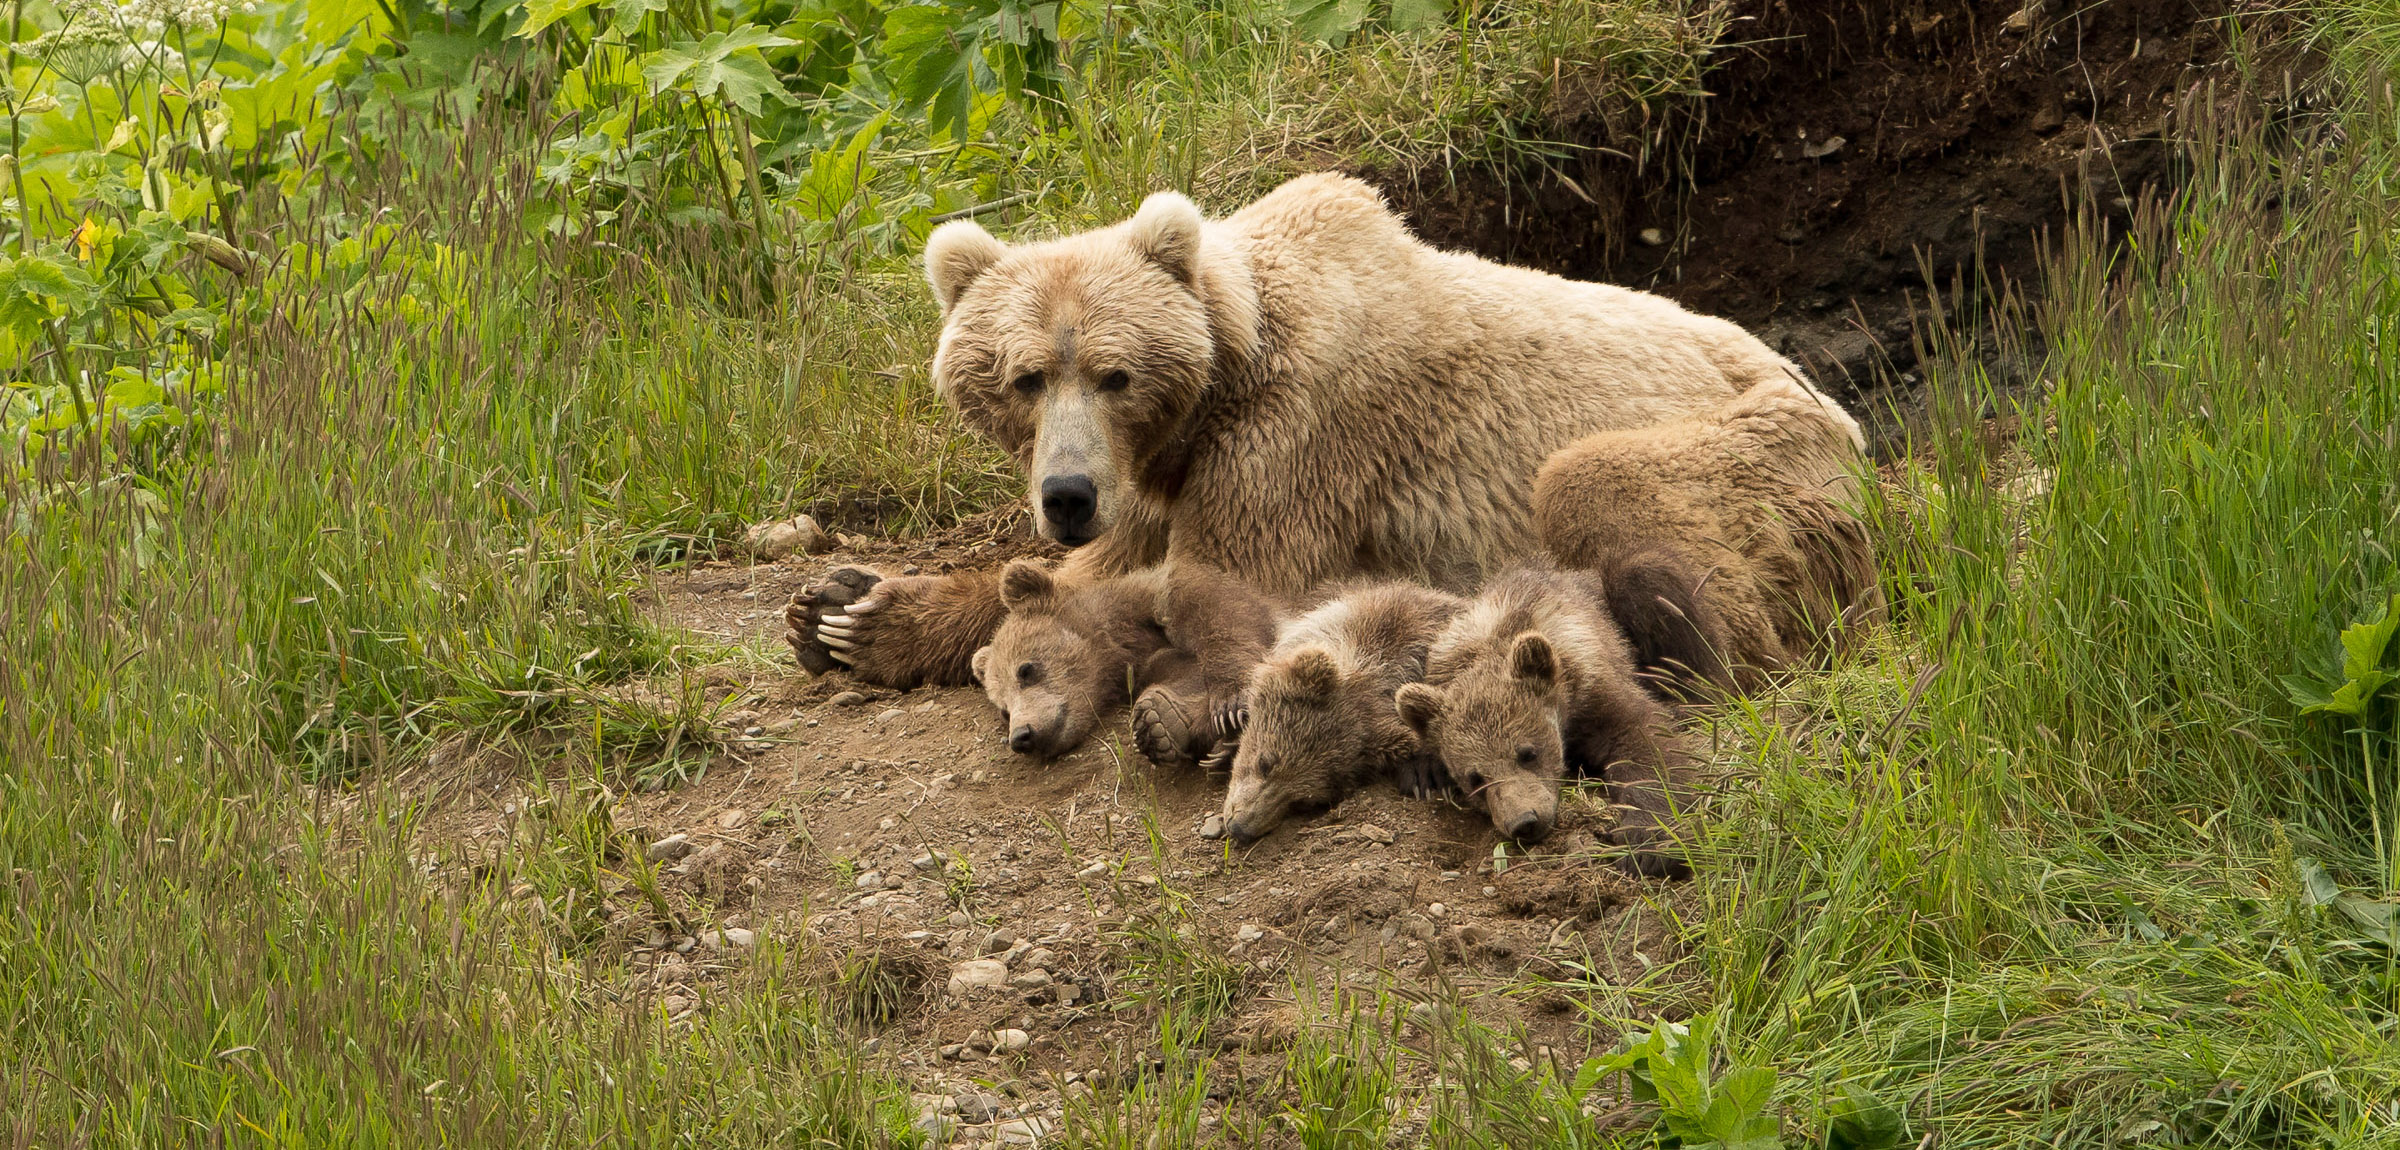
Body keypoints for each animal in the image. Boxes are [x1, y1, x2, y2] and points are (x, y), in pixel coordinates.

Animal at [782, 172, 1852, 691]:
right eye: (1026, 377)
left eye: (1115, 374)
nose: (1068, 495)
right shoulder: (1156, 476)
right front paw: (840, 607)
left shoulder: (1294, 444)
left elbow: (1212, 586)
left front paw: (867, 618)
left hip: (1772, 445)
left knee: (1603, 485)